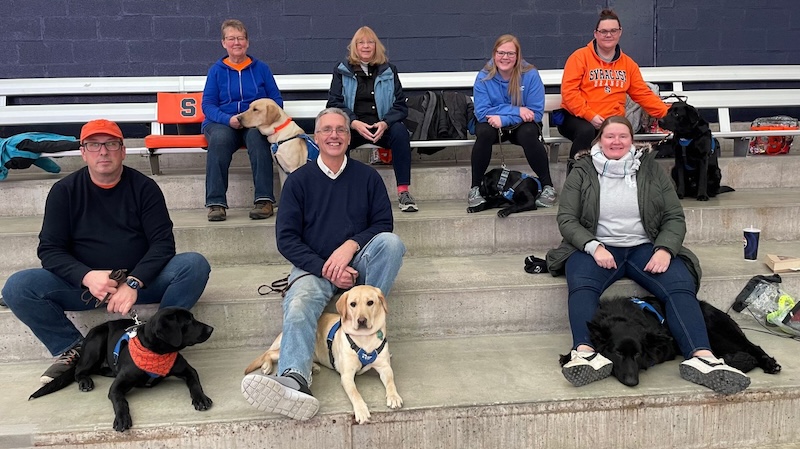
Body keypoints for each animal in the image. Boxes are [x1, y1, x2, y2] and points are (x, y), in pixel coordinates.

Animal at [30, 308, 214, 430]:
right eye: (188, 321)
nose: (211, 328)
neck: (156, 352)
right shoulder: (116, 387)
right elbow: (120, 401)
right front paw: (122, 418)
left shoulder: (188, 371)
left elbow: (195, 383)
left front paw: (201, 399)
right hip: (97, 341)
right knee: (80, 371)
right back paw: (85, 381)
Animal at [244, 286, 404, 422]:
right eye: (353, 304)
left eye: (370, 302)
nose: (361, 320)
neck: (364, 339)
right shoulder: (346, 376)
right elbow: (355, 393)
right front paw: (361, 410)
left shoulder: (385, 368)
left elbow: (391, 382)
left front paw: (394, 396)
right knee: (270, 353)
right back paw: (266, 366)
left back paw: (313, 367)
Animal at [560, 296, 780, 386]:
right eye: (618, 353)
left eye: (638, 354)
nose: (632, 382)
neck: (623, 317)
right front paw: (569, 357)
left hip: (720, 335)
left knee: (753, 347)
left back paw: (769, 364)